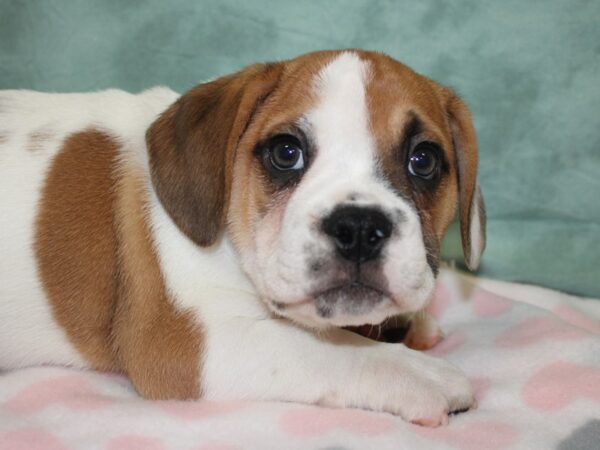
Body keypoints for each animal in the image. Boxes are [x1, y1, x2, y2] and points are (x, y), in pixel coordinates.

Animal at [0, 49, 486, 426]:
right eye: (286, 153)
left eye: (423, 160)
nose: (360, 229)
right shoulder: (192, 345)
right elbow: (320, 349)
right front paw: (419, 374)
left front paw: (406, 323)